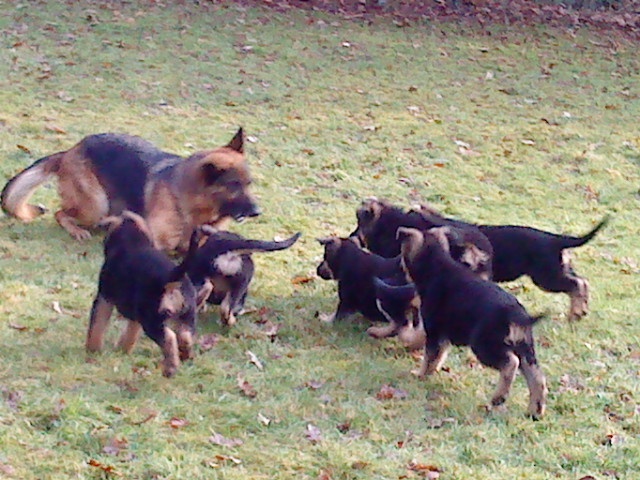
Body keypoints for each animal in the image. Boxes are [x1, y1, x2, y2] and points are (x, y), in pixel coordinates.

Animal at [1, 128, 260, 252]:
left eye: (249, 183)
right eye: (234, 186)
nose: (258, 212)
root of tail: (70, 150)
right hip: (96, 204)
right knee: (60, 213)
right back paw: (77, 230)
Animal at [86, 211, 199, 377]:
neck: (133, 241)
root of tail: (173, 276)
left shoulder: (104, 298)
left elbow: (97, 325)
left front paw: (92, 350)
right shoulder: (136, 314)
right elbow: (131, 334)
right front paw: (123, 350)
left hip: (152, 320)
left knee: (169, 337)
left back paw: (170, 368)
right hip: (186, 315)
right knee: (185, 335)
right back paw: (184, 354)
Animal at [352, 198, 608, 321]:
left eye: (359, 225)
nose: (352, 237)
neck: (393, 223)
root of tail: (556, 240)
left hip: (546, 276)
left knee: (577, 284)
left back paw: (576, 313)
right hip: (557, 270)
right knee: (582, 282)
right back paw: (580, 311)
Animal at [398, 226, 548, 419]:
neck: (437, 265)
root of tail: (518, 315)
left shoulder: (433, 331)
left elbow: (428, 355)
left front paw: (420, 374)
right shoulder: (444, 334)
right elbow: (439, 355)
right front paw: (432, 372)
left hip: (485, 345)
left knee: (510, 363)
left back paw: (499, 397)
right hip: (525, 349)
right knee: (537, 378)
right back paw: (535, 411)